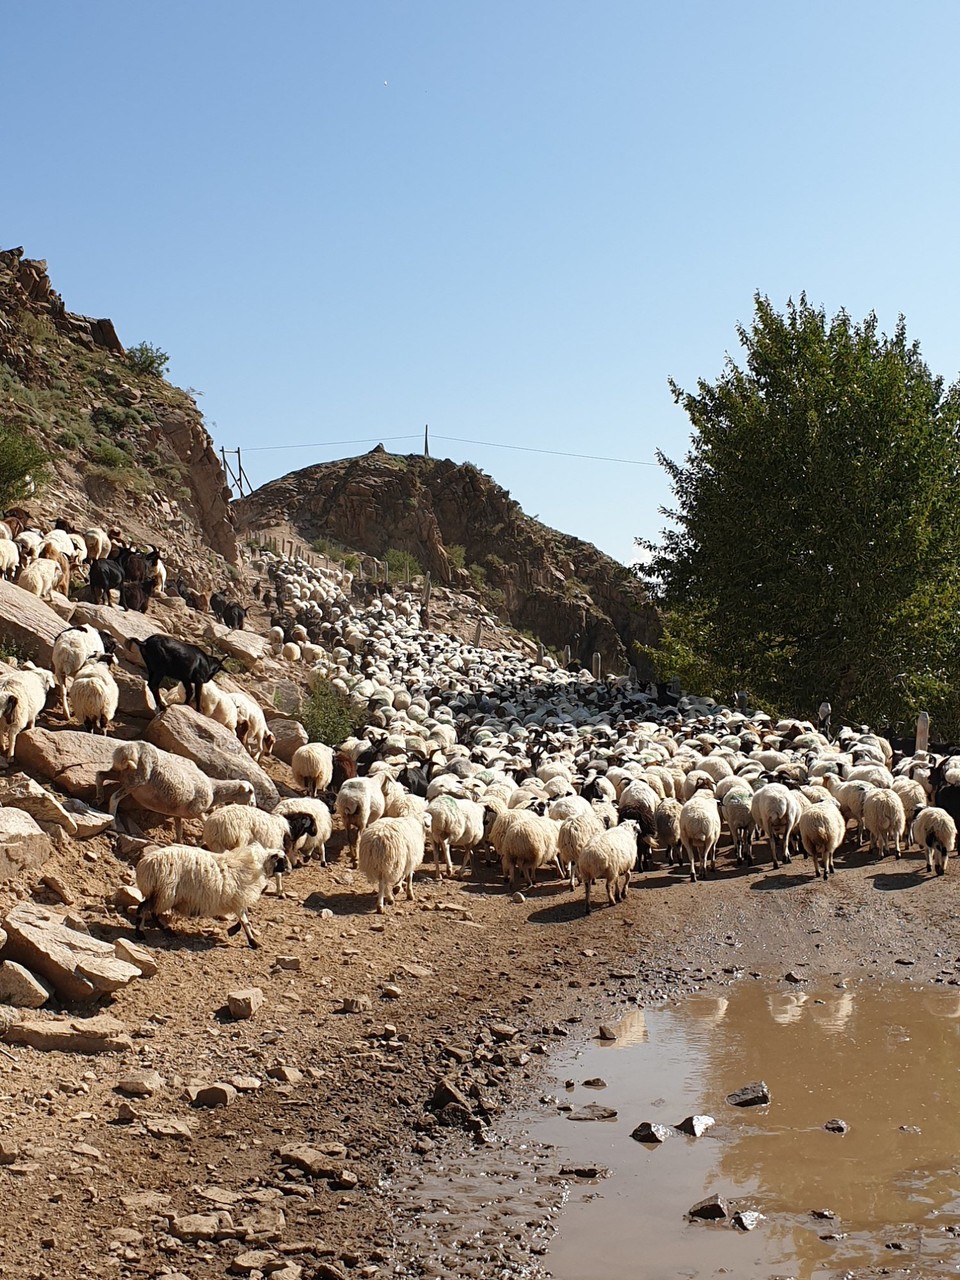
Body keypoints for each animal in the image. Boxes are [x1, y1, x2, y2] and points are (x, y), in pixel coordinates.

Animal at [133, 844, 288, 947]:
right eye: (282, 860)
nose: (289, 869)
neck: (258, 866)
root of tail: (144, 865)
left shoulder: (238, 899)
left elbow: (244, 918)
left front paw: (234, 931)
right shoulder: (239, 898)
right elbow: (245, 921)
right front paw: (253, 942)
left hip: (160, 894)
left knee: (149, 910)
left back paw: (164, 931)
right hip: (164, 893)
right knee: (146, 910)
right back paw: (145, 933)